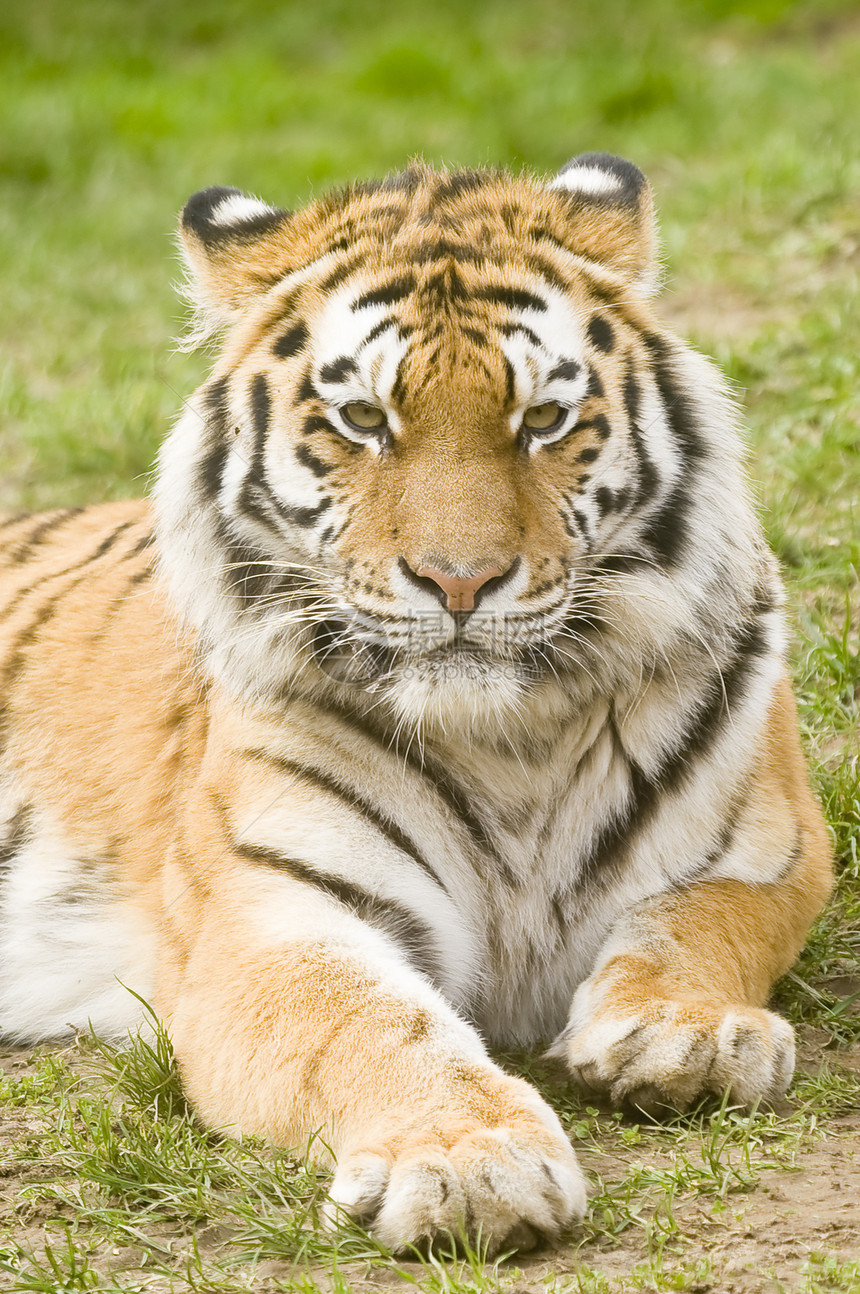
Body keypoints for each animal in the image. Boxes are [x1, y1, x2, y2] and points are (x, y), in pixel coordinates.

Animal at [0, 153, 832, 1252]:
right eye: (362, 420)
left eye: (542, 420)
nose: (459, 580)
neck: (512, 735)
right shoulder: (269, 918)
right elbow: (369, 1023)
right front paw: (465, 1160)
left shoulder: (774, 850)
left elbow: (697, 922)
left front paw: (687, 1032)